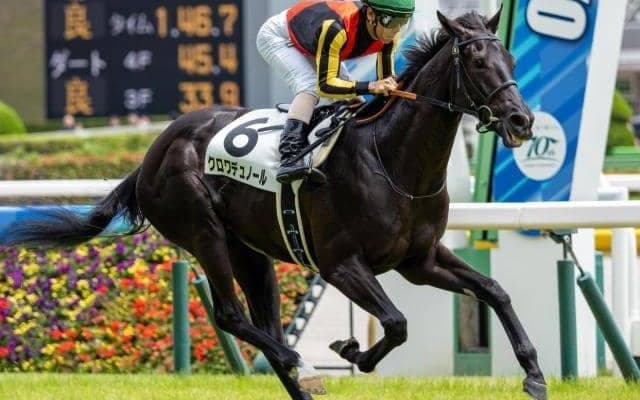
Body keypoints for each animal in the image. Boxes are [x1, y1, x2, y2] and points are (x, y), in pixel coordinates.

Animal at [5, 8, 546, 400]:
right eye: (477, 62)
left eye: (512, 61)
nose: (521, 121)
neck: (392, 162)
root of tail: (154, 152)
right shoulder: (340, 265)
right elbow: (396, 323)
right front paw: (350, 350)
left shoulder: (420, 259)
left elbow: (495, 291)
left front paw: (534, 374)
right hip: (203, 232)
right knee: (232, 316)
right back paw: (301, 365)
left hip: (250, 251)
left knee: (264, 322)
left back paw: (300, 376)